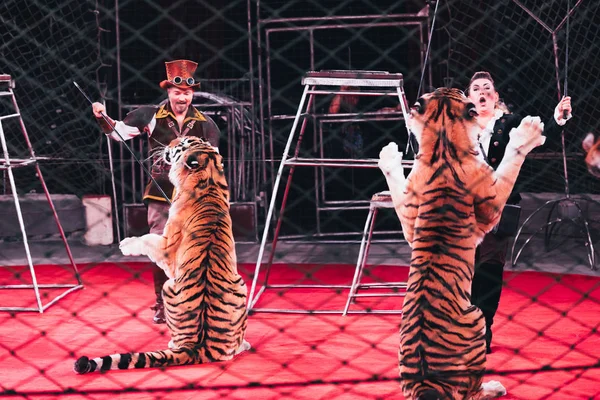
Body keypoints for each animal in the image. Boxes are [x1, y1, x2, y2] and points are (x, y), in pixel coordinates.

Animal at [74, 136, 250, 374]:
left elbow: (147, 237)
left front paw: (126, 244)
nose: (170, 142)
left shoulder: (167, 247)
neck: (210, 179)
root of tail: (202, 346)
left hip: (170, 288)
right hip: (240, 285)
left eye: (183, 143)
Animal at [382, 88, 548, 400]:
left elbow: (397, 192)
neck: (443, 141)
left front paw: (388, 155)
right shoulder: (493, 201)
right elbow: (511, 160)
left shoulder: (410, 216)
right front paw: (528, 131)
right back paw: (495, 386)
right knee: (473, 392)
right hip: (477, 319)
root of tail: (427, 386)